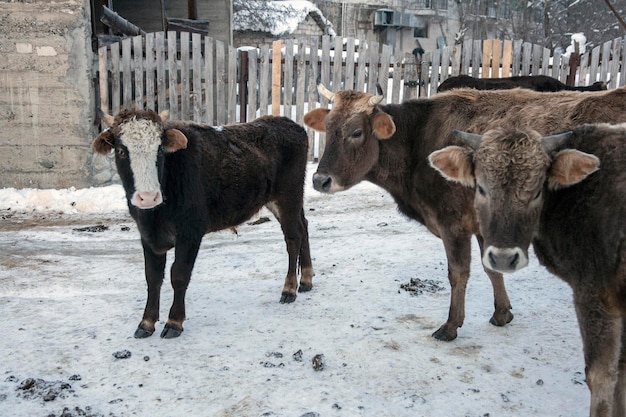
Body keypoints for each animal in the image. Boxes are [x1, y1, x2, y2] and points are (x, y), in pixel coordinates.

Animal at [92, 109, 312, 336]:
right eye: (121, 151)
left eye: (159, 150)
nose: (148, 197)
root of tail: (288, 123)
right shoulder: (147, 235)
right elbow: (152, 277)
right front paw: (146, 323)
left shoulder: (190, 232)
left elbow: (179, 274)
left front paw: (174, 322)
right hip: (283, 200)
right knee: (303, 226)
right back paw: (306, 280)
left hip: (288, 196)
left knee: (293, 238)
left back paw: (289, 289)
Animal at [302, 84, 624, 342]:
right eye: (328, 128)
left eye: (356, 132)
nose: (320, 180)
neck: (418, 144)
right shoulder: (483, 225)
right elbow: (491, 268)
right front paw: (502, 313)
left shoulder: (453, 223)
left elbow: (458, 273)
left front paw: (451, 326)